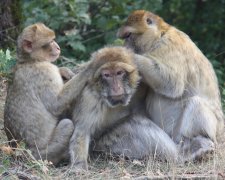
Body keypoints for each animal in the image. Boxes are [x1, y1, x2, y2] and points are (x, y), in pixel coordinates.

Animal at [4, 22, 94, 165]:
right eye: (50, 42)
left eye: (53, 39)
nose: (57, 47)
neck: (30, 60)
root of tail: (18, 152)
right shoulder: (46, 72)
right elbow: (56, 105)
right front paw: (90, 68)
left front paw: (64, 70)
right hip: (42, 154)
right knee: (67, 125)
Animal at [114, 9, 225, 162]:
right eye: (125, 37)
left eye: (129, 36)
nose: (125, 45)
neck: (161, 34)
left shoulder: (170, 46)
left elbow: (172, 83)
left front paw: (125, 56)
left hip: (209, 132)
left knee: (196, 103)